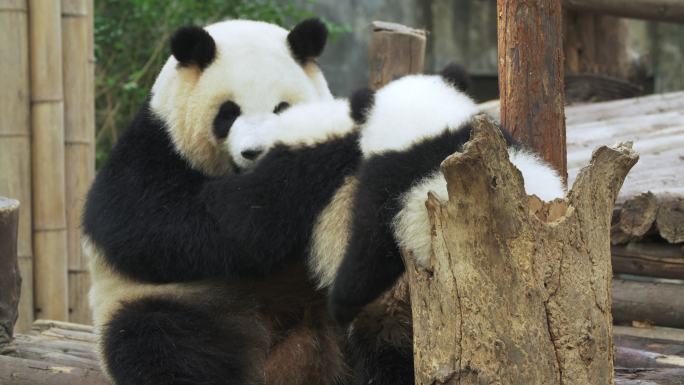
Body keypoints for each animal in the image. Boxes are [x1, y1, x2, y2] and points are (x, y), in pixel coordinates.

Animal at [82, 18, 350, 384]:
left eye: (282, 108)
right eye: (228, 112)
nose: (255, 152)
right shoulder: (152, 149)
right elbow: (170, 226)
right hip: (164, 301)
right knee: (160, 342)